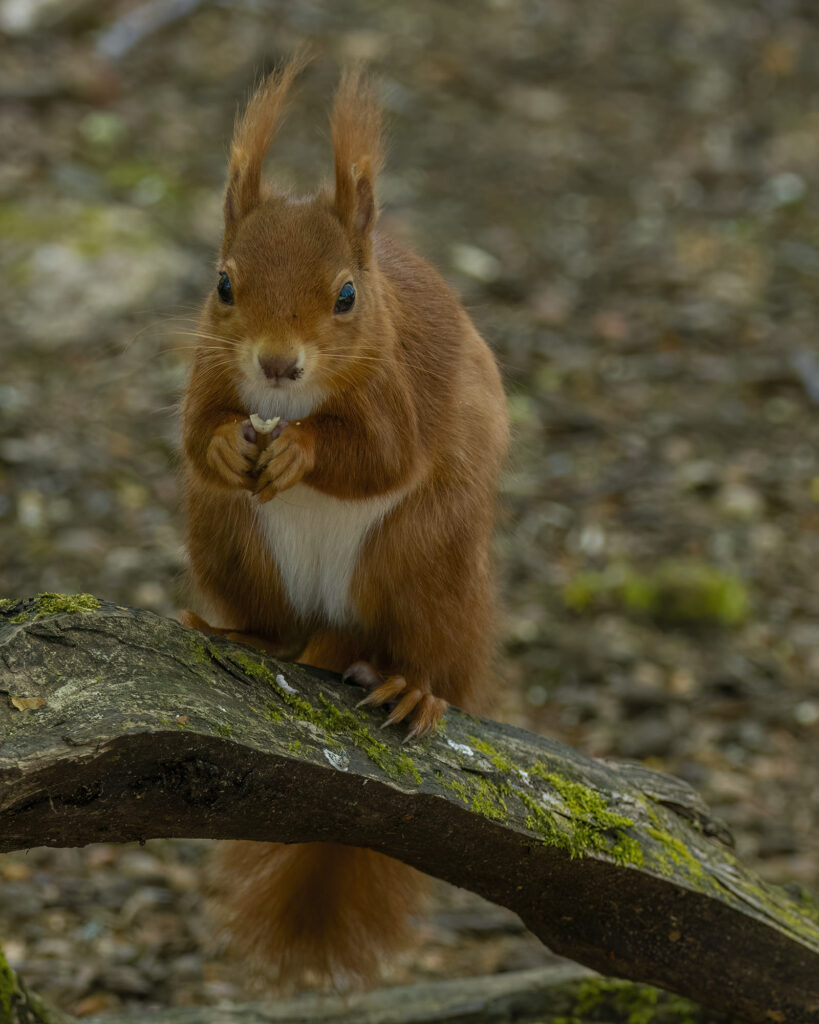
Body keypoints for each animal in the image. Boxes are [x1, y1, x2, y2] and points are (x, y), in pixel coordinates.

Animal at [179, 55, 509, 987]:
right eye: (223, 284)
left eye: (347, 296)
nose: (277, 365)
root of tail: (335, 633)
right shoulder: (205, 373)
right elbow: (193, 437)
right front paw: (229, 446)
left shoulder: (395, 391)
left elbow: (379, 459)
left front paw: (300, 454)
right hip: (227, 540)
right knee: (282, 629)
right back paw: (242, 634)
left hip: (427, 565)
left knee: (431, 656)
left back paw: (412, 687)